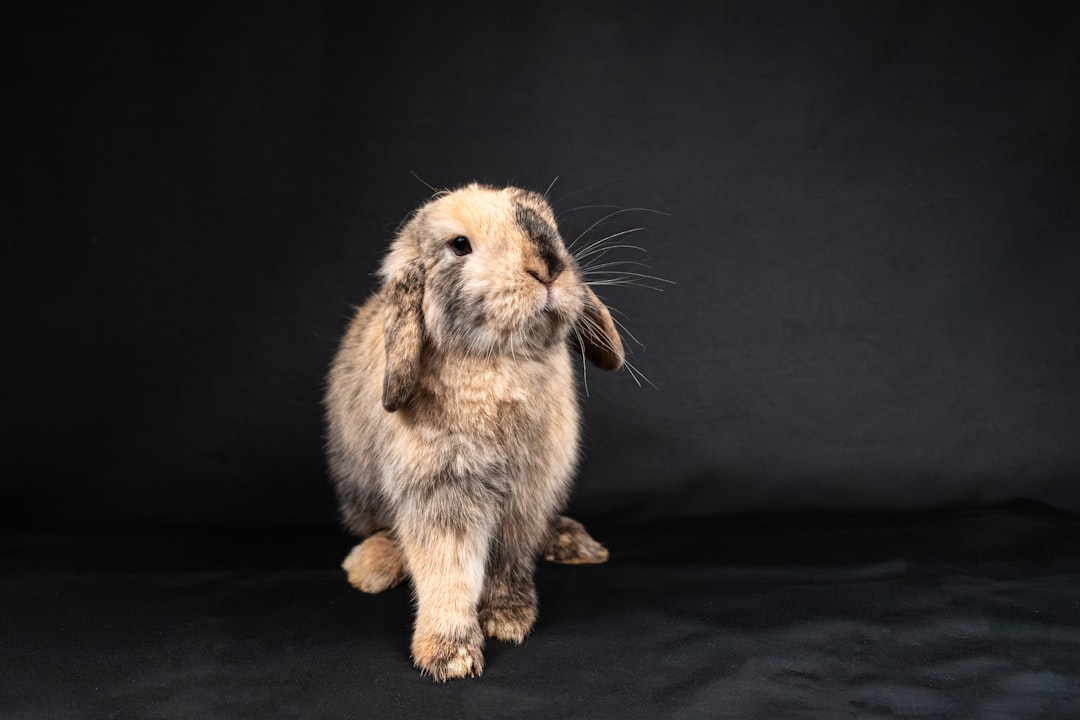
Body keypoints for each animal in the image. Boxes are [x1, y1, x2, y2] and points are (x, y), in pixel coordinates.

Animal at [324, 183, 624, 681]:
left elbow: (508, 560)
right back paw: (370, 568)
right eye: (460, 245)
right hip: (360, 493)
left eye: (551, 228)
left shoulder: (526, 493)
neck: (499, 360)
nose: (548, 269)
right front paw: (450, 656)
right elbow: (448, 570)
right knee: (383, 531)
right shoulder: (443, 491)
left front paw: (509, 618)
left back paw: (575, 543)